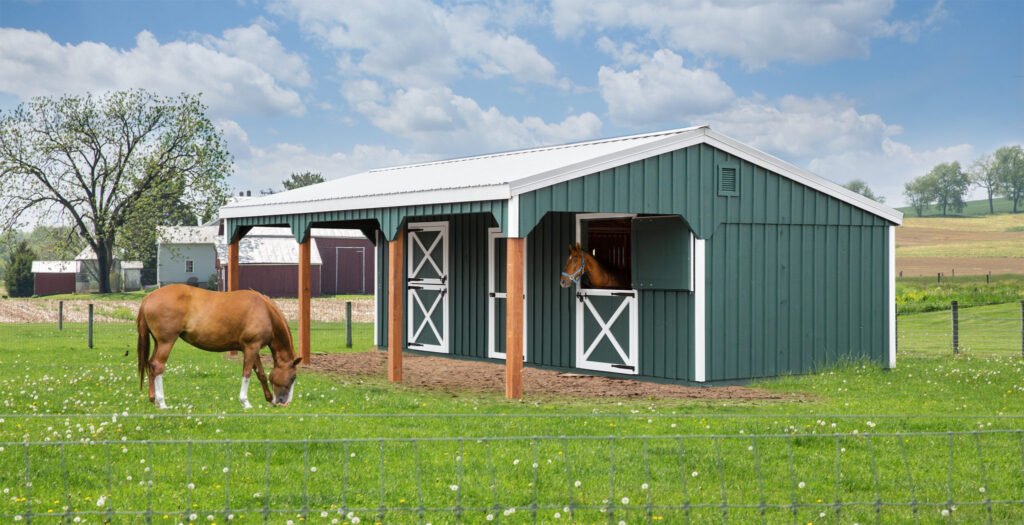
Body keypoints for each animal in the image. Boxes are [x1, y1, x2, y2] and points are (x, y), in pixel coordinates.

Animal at [136, 284, 301, 409]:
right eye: (293, 377)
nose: (285, 402)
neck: (265, 312)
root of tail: (148, 297)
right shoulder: (251, 347)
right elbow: (247, 373)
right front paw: (245, 402)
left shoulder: (252, 348)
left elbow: (260, 374)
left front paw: (269, 399)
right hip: (166, 342)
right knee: (158, 366)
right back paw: (162, 402)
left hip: (158, 342)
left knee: (151, 364)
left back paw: (154, 399)